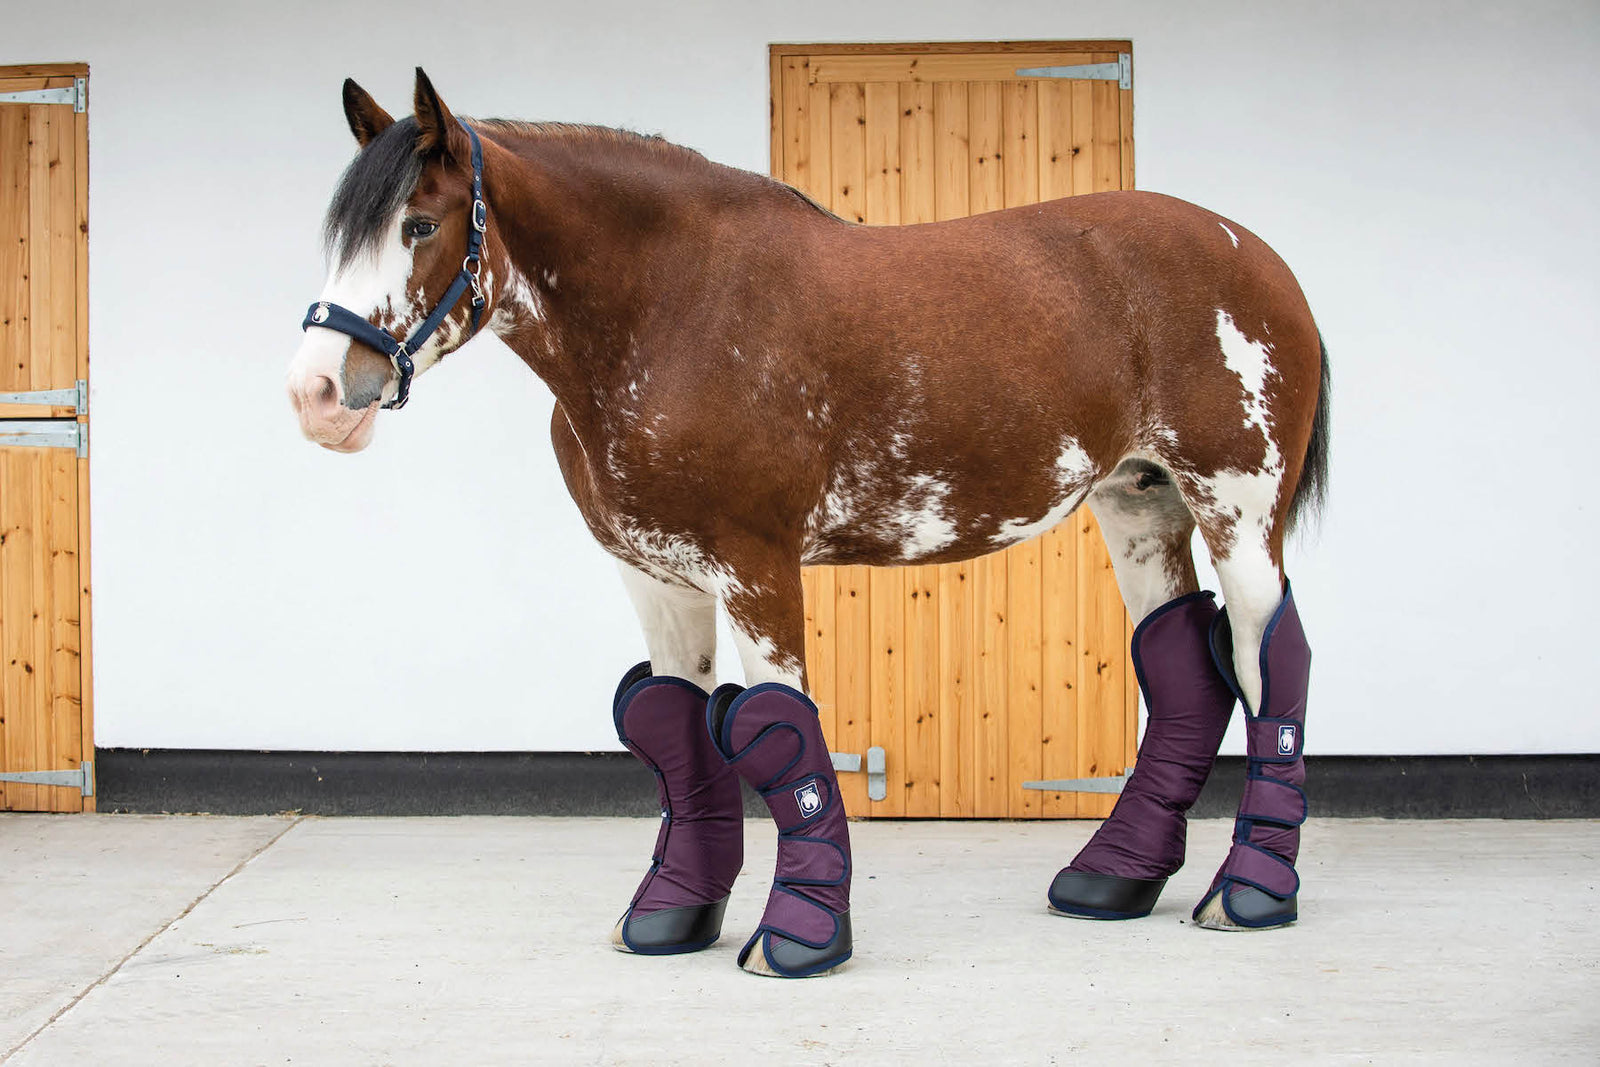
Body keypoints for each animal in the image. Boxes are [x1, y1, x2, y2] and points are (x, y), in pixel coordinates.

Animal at [287, 69, 1329, 977]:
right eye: (339, 239)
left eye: (420, 224)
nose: (317, 396)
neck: (675, 308)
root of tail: (1259, 254)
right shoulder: (654, 571)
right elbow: (675, 729)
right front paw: (672, 913)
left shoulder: (755, 565)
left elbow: (777, 732)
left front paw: (801, 935)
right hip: (1139, 500)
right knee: (1183, 665)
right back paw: (1113, 879)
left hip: (1238, 509)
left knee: (1267, 659)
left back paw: (1252, 894)